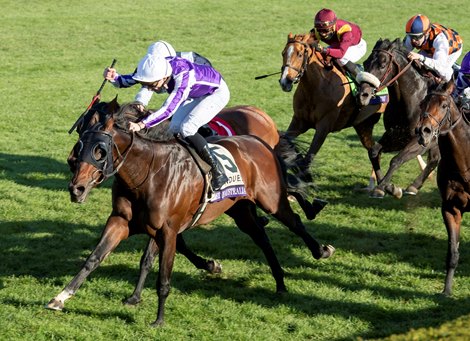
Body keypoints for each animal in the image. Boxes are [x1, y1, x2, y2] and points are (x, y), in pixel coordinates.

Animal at [48, 99, 334, 324]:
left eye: (99, 150)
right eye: (80, 142)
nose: (76, 188)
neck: (147, 171)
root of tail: (258, 141)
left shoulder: (167, 229)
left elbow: (162, 273)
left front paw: (158, 317)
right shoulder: (123, 221)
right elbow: (96, 259)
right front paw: (61, 297)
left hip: (271, 199)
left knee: (294, 221)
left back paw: (320, 249)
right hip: (240, 209)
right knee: (261, 237)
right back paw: (280, 282)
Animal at [280, 31, 386, 186]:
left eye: (299, 54)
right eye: (283, 53)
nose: (285, 81)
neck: (317, 86)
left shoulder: (324, 126)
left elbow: (309, 156)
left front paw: (304, 179)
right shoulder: (299, 121)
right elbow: (284, 142)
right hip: (363, 125)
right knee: (374, 150)